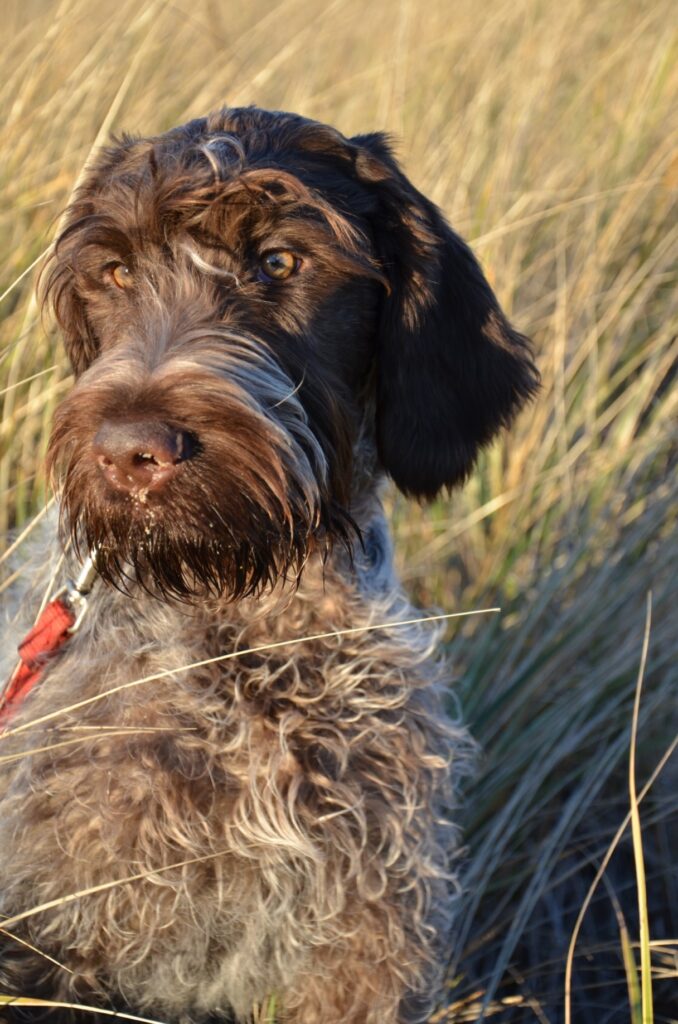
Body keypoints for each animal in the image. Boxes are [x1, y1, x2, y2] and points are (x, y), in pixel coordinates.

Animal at [1, 108, 540, 1019]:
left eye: (281, 262)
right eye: (116, 270)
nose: (131, 452)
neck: (244, 635)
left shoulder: (363, 942)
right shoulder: (55, 935)